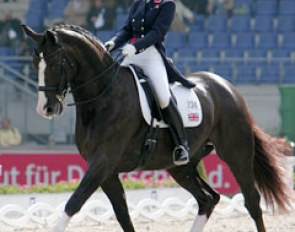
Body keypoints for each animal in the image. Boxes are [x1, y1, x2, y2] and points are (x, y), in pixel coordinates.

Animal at [22, 24, 294, 232]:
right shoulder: (107, 171)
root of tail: (226, 86)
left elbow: (74, 202)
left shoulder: (103, 162)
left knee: (252, 201)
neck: (103, 96)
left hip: (236, 153)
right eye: (35, 63)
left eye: (54, 64)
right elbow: (123, 215)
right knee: (208, 199)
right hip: (180, 167)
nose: (45, 109)